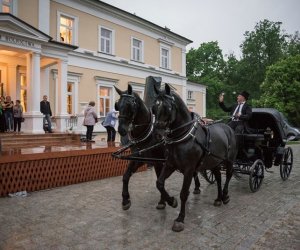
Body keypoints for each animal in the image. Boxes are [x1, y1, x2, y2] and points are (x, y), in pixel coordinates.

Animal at [154, 84, 238, 232]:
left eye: (168, 107)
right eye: (154, 106)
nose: (158, 133)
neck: (184, 136)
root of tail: (227, 127)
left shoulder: (189, 169)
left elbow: (183, 193)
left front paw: (180, 219)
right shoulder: (170, 164)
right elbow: (159, 183)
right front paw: (172, 201)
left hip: (229, 160)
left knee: (228, 175)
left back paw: (225, 196)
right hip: (214, 162)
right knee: (218, 177)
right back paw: (218, 198)